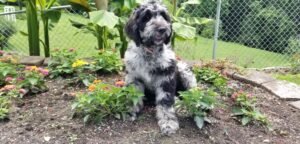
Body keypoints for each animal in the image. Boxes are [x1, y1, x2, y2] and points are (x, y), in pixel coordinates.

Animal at [123, 0, 197, 135]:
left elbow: (165, 101)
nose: (162, 29)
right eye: (146, 17)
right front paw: (130, 111)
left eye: (163, 16)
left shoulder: (166, 77)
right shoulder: (133, 77)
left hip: (183, 69)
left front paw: (168, 122)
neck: (150, 52)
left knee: (193, 92)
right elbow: (134, 96)